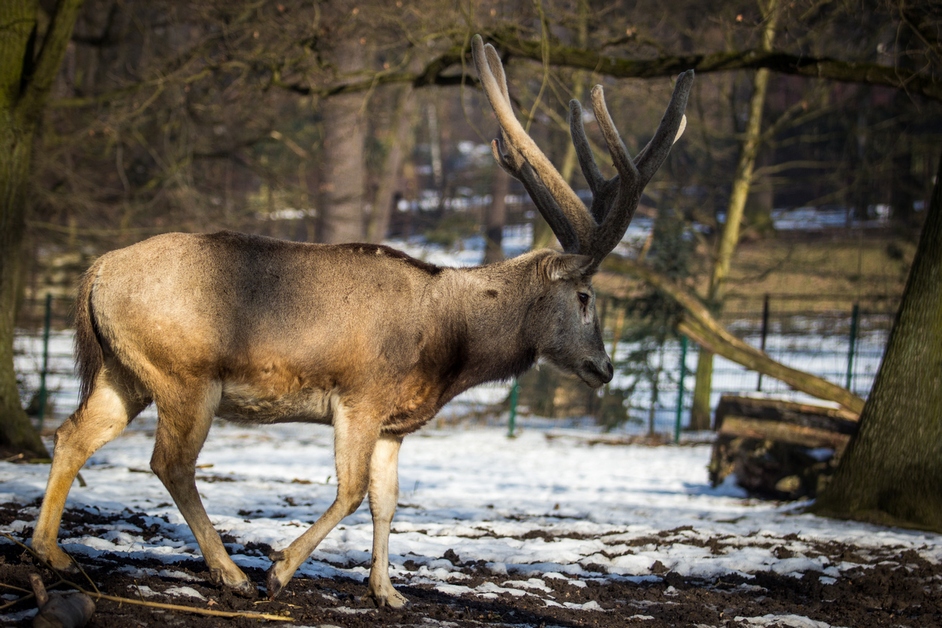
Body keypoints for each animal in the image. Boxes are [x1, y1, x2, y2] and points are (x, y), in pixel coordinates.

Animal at [31, 35, 692, 608]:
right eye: (584, 295)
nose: (604, 367)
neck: (447, 349)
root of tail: (95, 272)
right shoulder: (360, 397)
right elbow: (349, 493)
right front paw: (279, 569)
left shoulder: (395, 423)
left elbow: (386, 501)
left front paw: (387, 592)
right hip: (184, 376)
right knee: (170, 463)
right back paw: (230, 574)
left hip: (125, 371)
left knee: (72, 434)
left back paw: (52, 553)